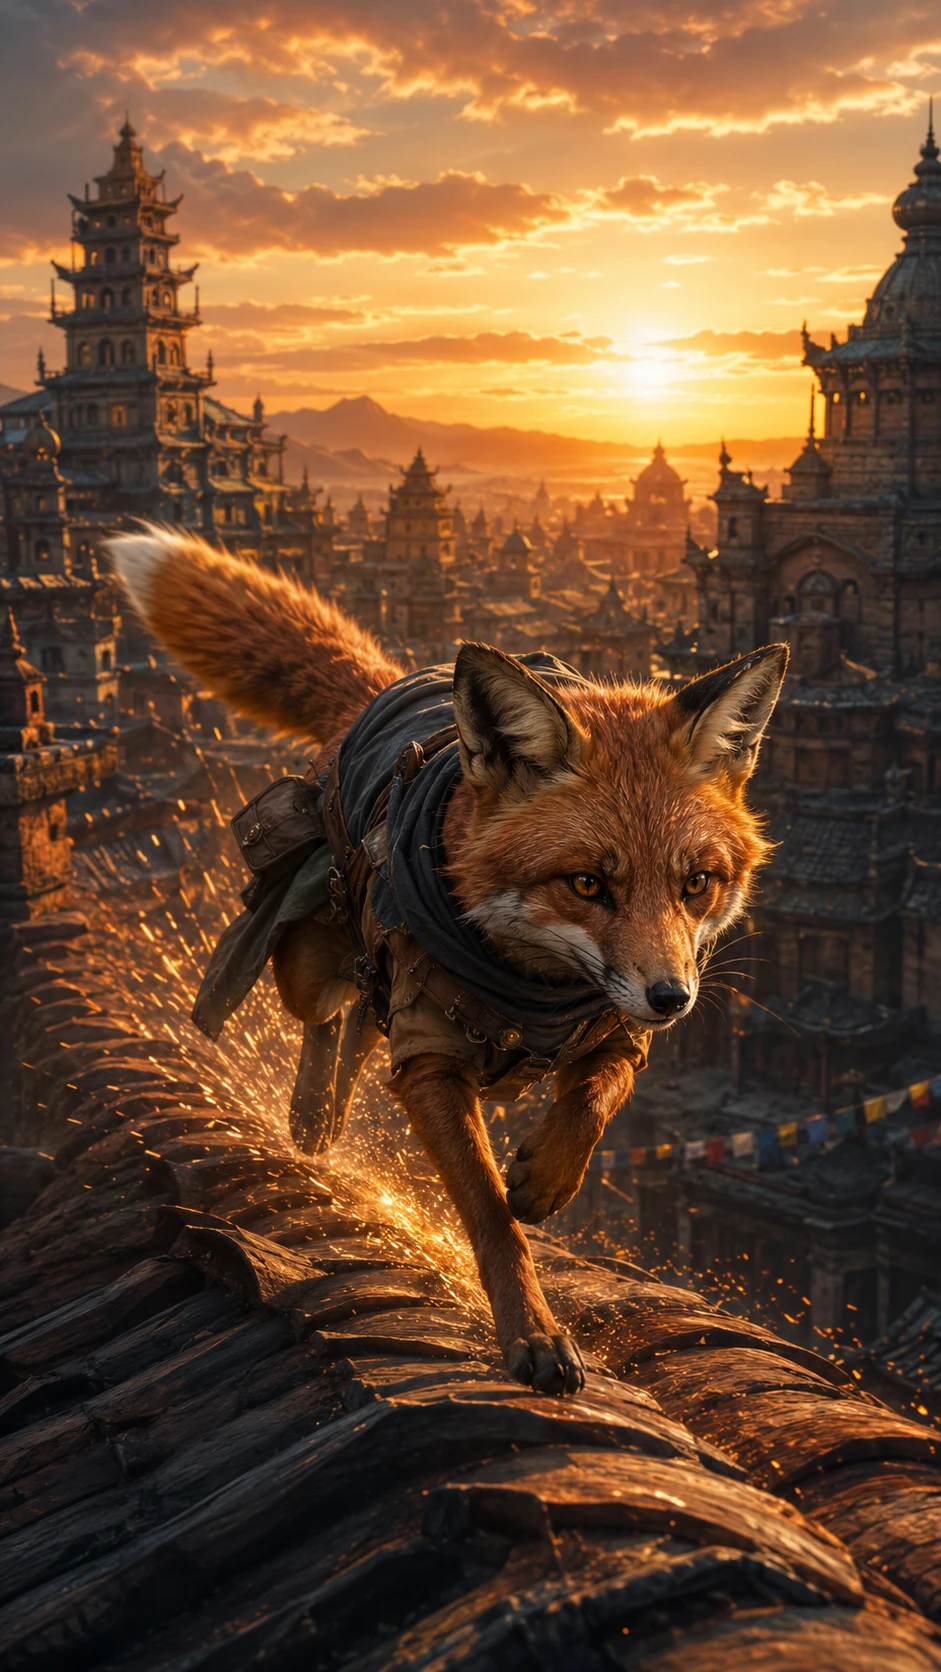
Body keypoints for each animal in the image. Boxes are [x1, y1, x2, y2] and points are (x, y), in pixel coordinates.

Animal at [106, 527, 787, 1398]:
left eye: (696, 884)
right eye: (586, 883)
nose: (673, 998)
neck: (531, 988)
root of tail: (391, 682)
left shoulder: (614, 1033)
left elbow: (589, 1106)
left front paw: (545, 1178)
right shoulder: (431, 1063)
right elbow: (490, 1217)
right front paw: (532, 1335)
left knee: (362, 1023)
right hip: (311, 959)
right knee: (331, 1020)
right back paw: (310, 1113)